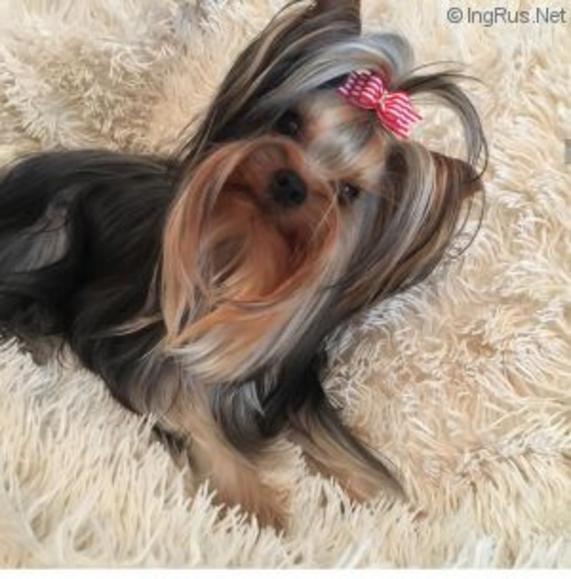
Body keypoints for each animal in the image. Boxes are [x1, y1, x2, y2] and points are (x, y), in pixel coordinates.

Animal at [0, 0, 486, 527]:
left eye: (349, 192)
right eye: (289, 124)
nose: (291, 182)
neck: (246, 249)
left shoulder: (288, 385)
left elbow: (346, 450)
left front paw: (399, 509)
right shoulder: (144, 349)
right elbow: (187, 409)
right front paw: (260, 506)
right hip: (52, 231)